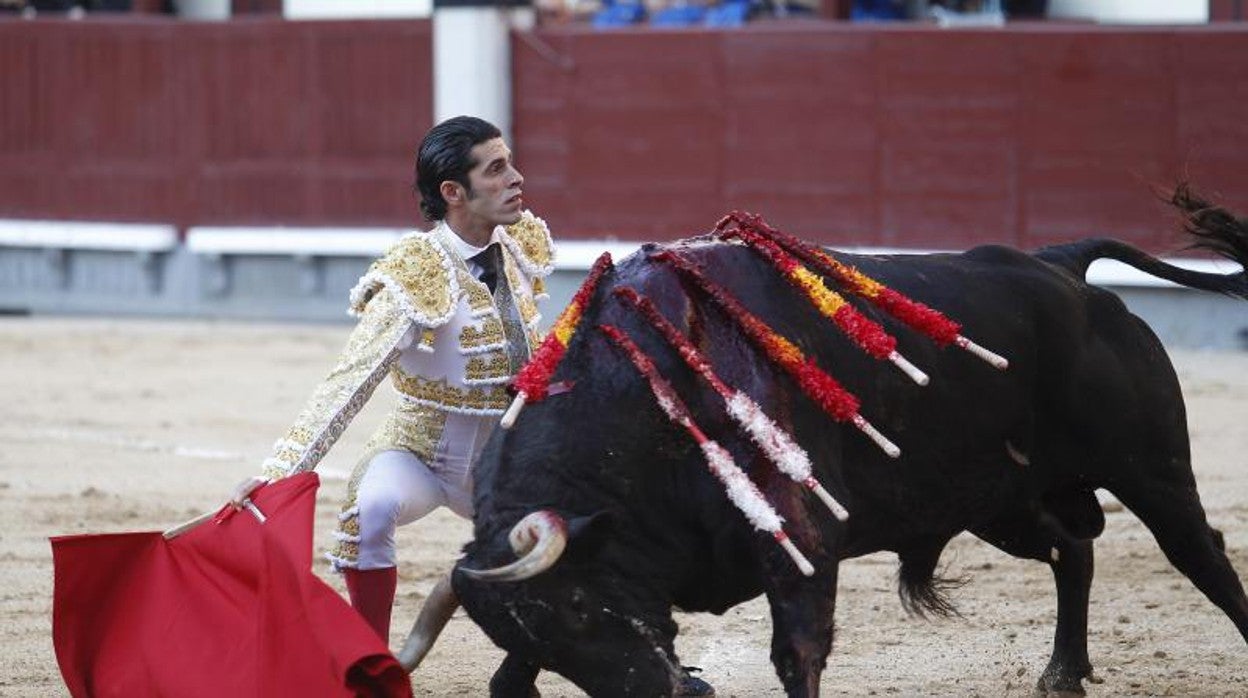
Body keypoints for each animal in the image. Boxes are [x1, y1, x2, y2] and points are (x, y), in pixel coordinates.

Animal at [421, 187, 1248, 698]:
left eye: (583, 608)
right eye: (552, 636)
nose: (663, 688)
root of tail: (1059, 266)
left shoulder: (802, 537)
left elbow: (798, 650)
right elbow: (507, 675)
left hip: (1151, 469)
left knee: (1199, 553)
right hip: (997, 498)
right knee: (1071, 547)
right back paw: (1063, 671)